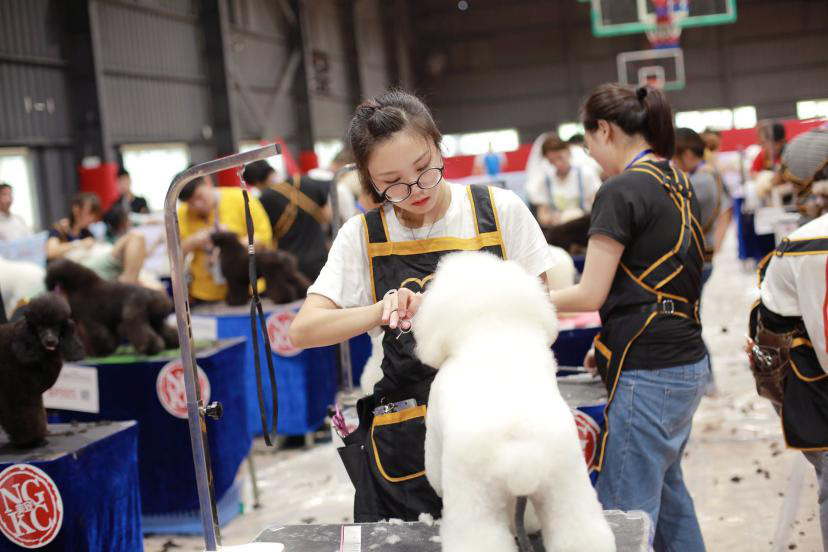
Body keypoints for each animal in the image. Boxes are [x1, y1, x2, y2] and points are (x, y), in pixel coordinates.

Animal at [414, 251, 616, 552]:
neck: (494, 329)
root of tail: (521, 454)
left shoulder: (435, 434)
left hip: (476, 499)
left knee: (479, 536)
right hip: (566, 486)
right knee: (579, 531)